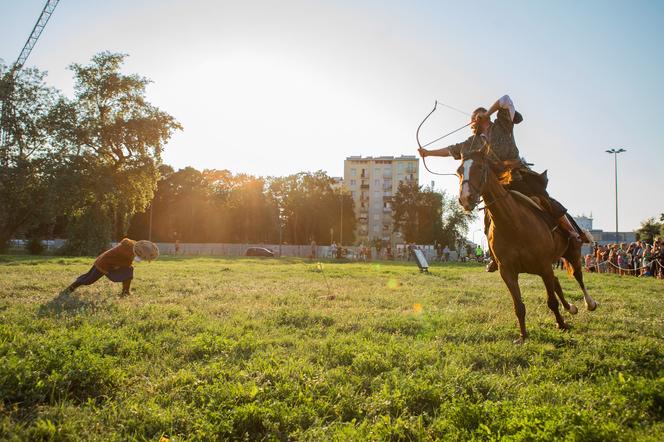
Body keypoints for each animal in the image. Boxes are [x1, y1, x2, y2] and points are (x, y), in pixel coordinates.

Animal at [456, 147, 596, 344]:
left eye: (480, 167)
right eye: (459, 171)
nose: (465, 198)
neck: (513, 224)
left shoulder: (544, 266)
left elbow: (551, 301)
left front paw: (561, 324)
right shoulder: (508, 272)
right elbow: (519, 306)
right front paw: (522, 336)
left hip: (572, 253)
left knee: (578, 276)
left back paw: (589, 303)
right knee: (557, 281)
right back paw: (570, 307)